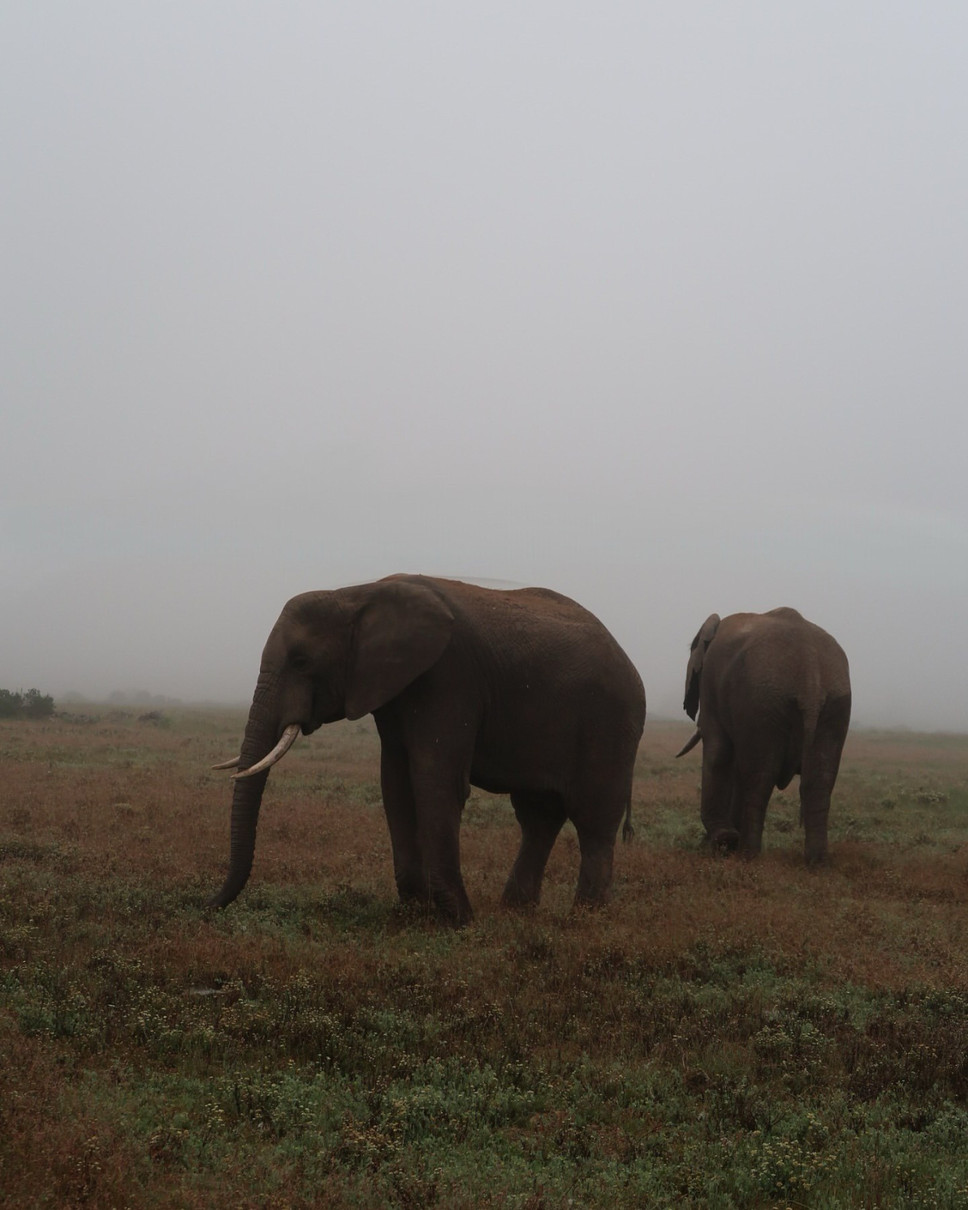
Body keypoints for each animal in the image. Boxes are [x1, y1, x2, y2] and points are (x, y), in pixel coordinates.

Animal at [209, 575, 648, 924]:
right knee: (538, 816)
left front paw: (460, 921)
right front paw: (415, 912)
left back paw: (584, 919)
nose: (210, 905)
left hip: (611, 723)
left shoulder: (448, 677)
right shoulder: (392, 688)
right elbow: (396, 785)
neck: (356, 593)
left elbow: (436, 781)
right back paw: (516, 911)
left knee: (593, 818)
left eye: (301, 661)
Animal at [677, 609, 851, 866]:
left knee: (760, 778)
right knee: (819, 781)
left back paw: (748, 856)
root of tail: (810, 676)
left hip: (761, 700)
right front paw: (724, 843)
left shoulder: (712, 685)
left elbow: (718, 752)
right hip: (834, 703)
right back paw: (817, 864)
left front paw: (722, 842)